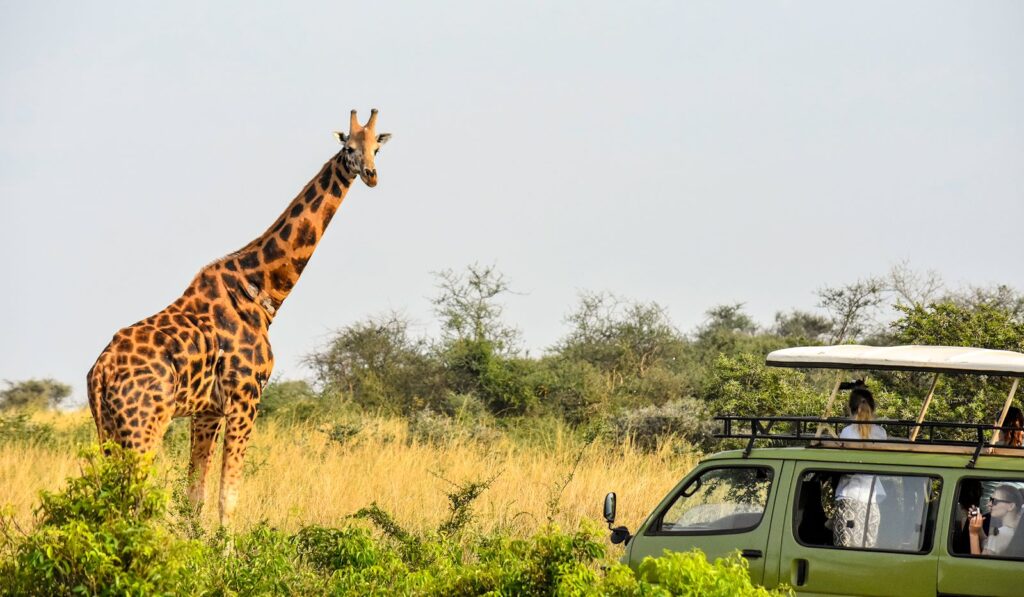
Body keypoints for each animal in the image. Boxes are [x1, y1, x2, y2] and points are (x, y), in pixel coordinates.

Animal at [86, 109, 391, 526]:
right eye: (349, 148)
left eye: (377, 147)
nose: (372, 175)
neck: (262, 289)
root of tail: (100, 371)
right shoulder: (246, 395)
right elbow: (227, 495)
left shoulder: (207, 409)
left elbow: (195, 495)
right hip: (144, 424)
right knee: (132, 500)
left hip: (107, 427)